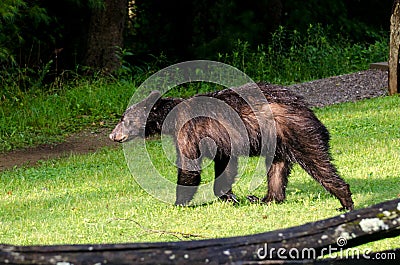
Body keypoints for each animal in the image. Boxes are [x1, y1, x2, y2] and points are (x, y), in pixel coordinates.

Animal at [109, 83, 354, 210]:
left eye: (124, 119)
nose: (113, 135)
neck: (170, 117)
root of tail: (308, 110)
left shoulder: (188, 130)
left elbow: (189, 166)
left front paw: (178, 202)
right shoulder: (222, 141)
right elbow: (225, 164)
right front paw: (229, 197)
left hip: (296, 132)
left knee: (318, 161)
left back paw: (344, 201)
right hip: (278, 142)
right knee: (277, 169)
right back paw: (265, 199)